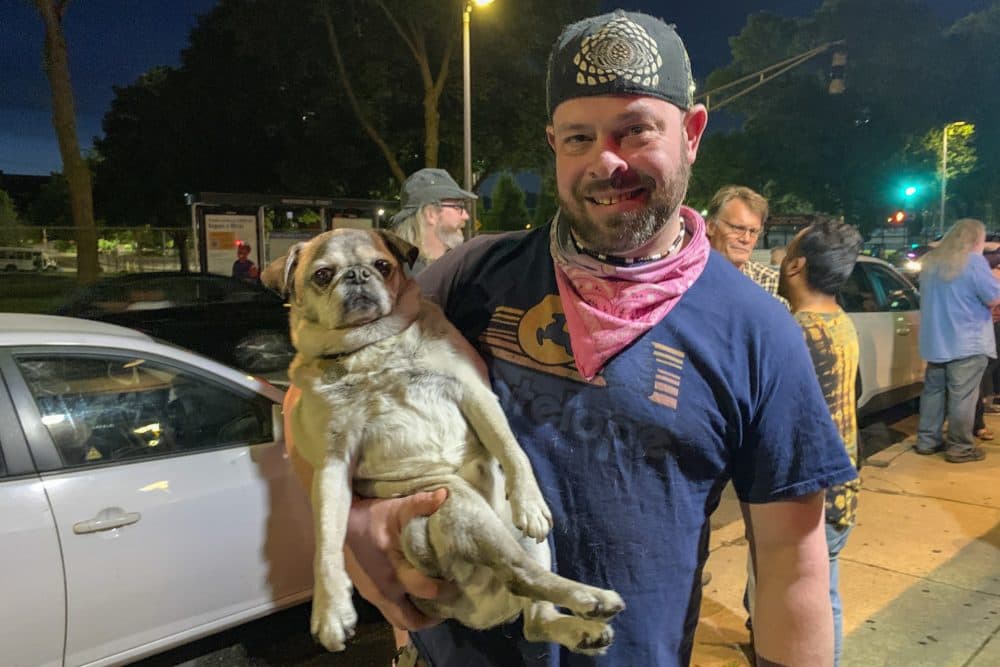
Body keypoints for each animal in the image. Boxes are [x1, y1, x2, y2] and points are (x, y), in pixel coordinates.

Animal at [266, 230, 624, 656]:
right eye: (322, 275)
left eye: (383, 266)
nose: (356, 274)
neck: (370, 350)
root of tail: (482, 609)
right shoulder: (332, 463)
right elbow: (327, 541)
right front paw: (330, 608)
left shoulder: (475, 393)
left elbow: (513, 451)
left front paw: (529, 500)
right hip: (457, 501)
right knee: (523, 580)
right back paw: (590, 601)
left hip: (518, 535)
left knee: (532, 602)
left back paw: (584, 617)